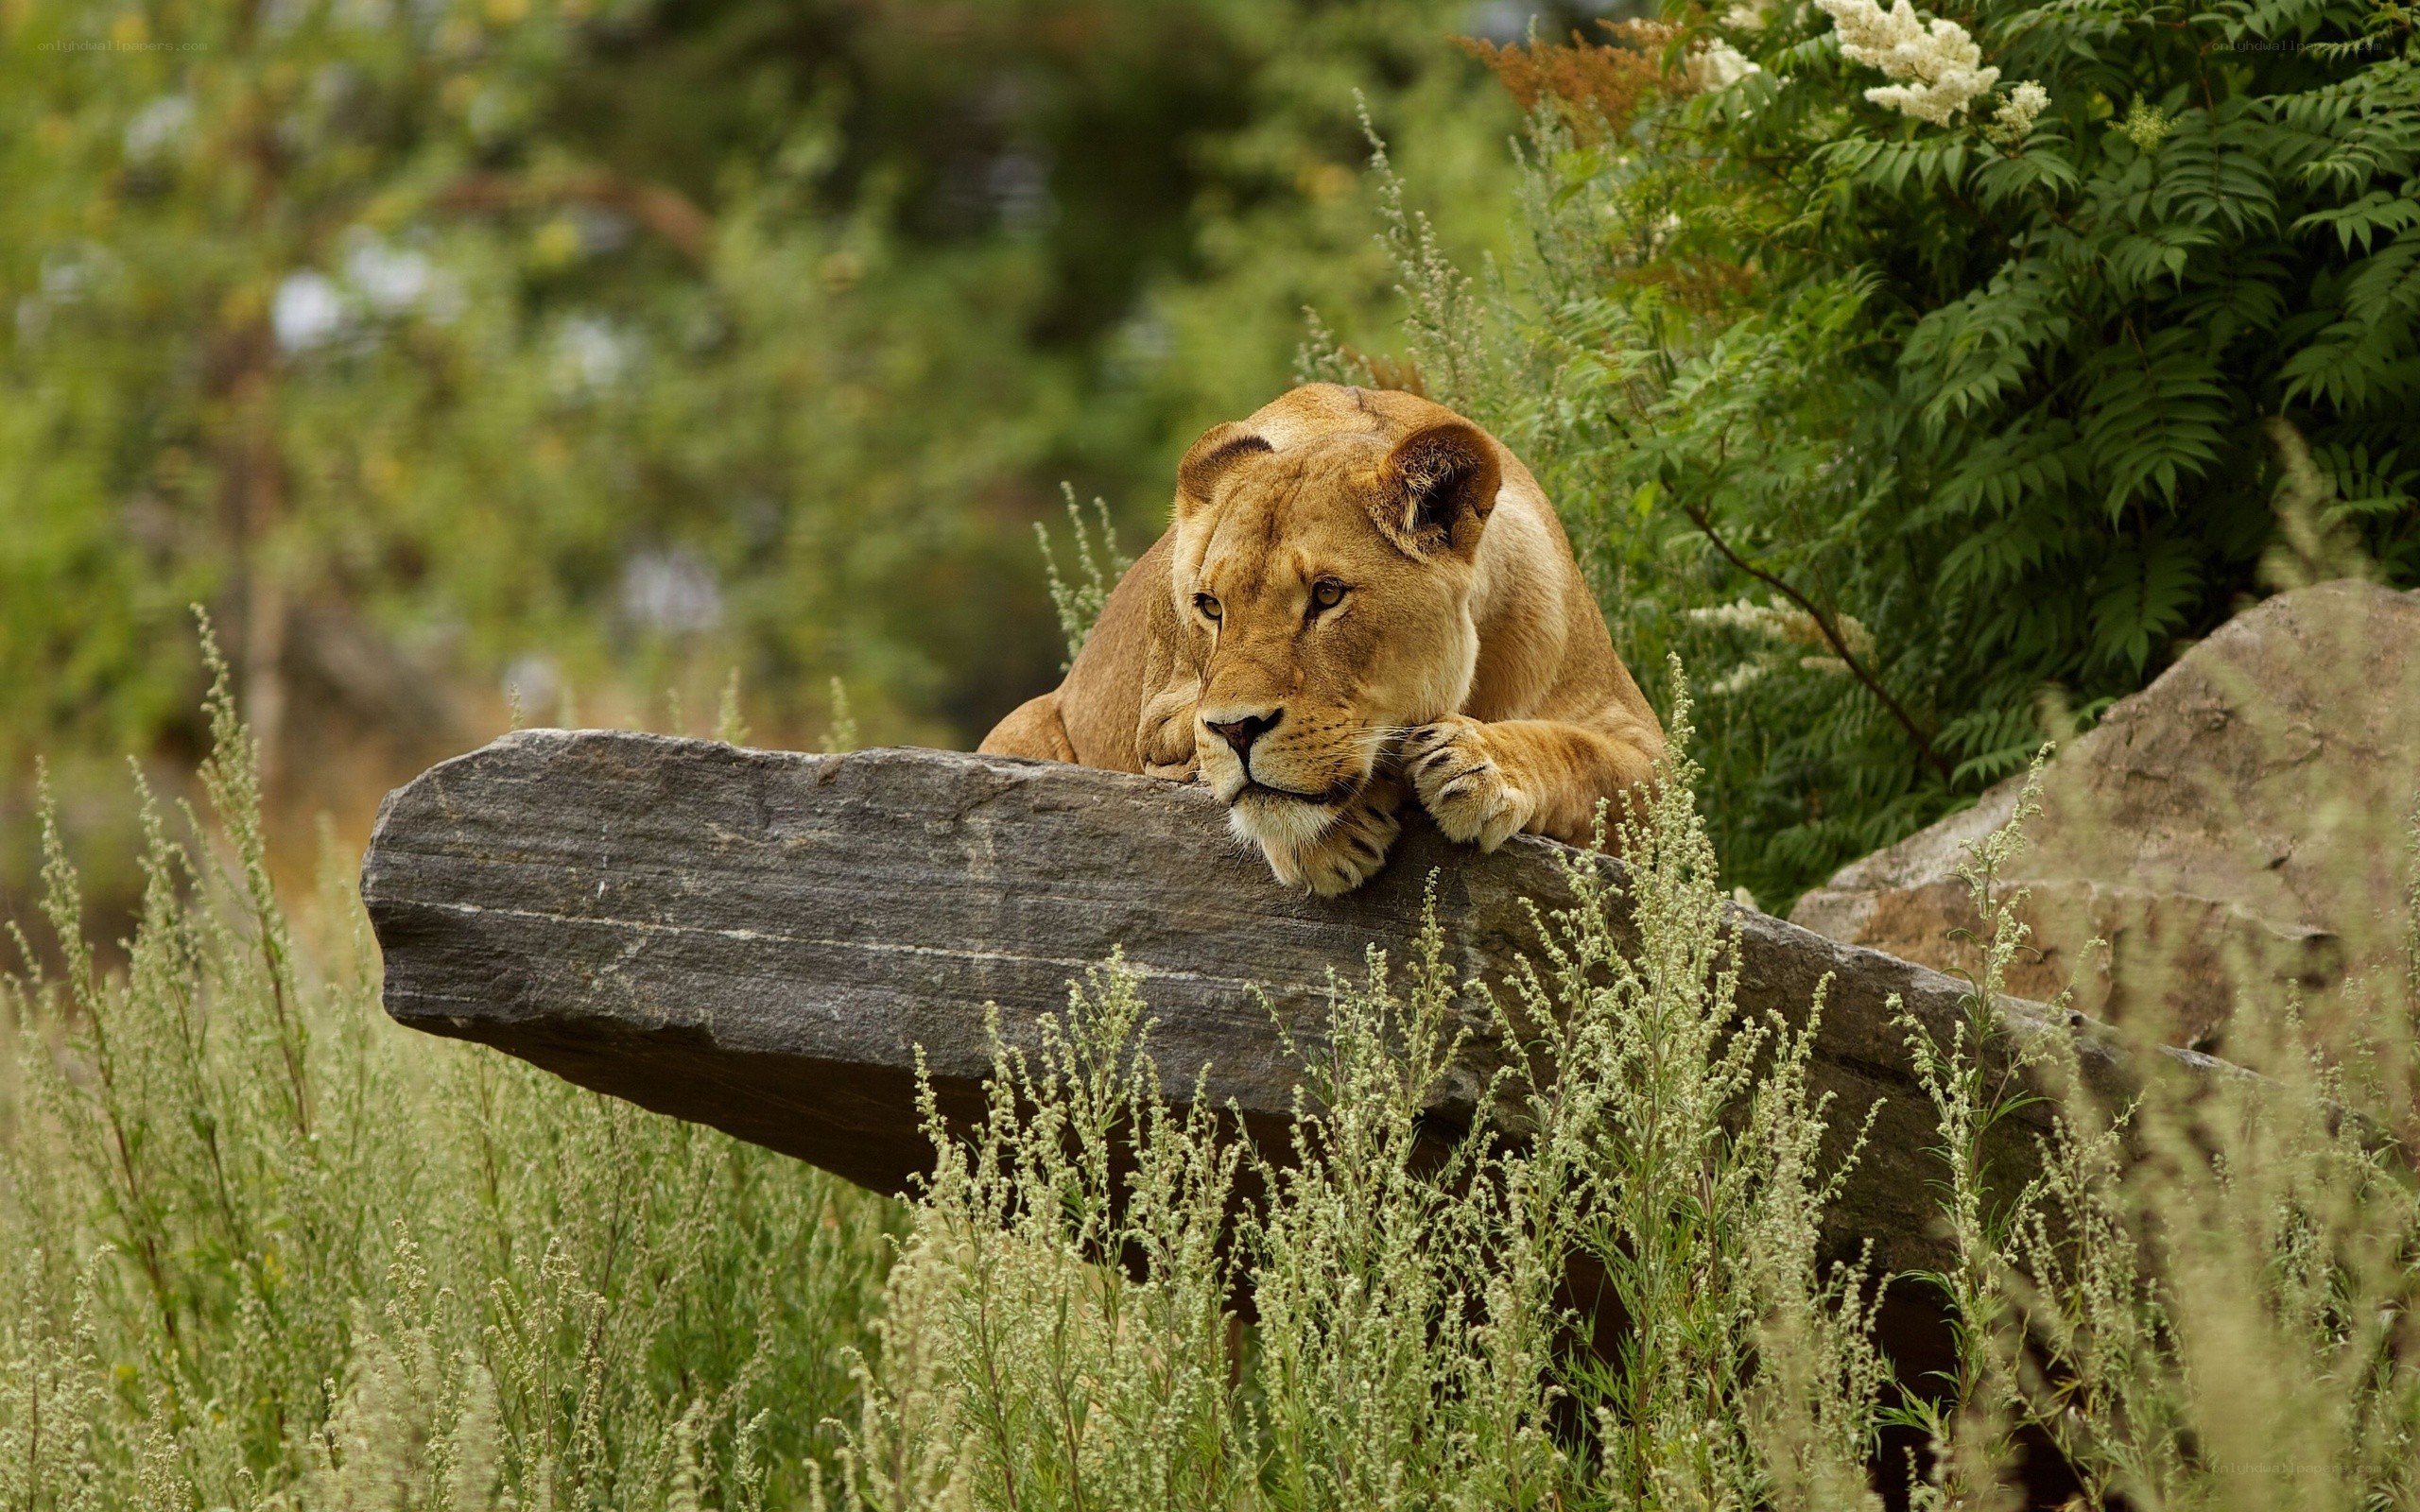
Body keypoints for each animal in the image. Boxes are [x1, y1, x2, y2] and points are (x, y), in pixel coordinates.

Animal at [980, 383, 1665, 894]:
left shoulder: (1652, 756)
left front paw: (1479, 765)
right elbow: (1222, 766)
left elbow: (1582, 758)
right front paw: (1325, 837)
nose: (1237, 730)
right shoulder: (1160, 723)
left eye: (1328, 595)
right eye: (1211, 606)